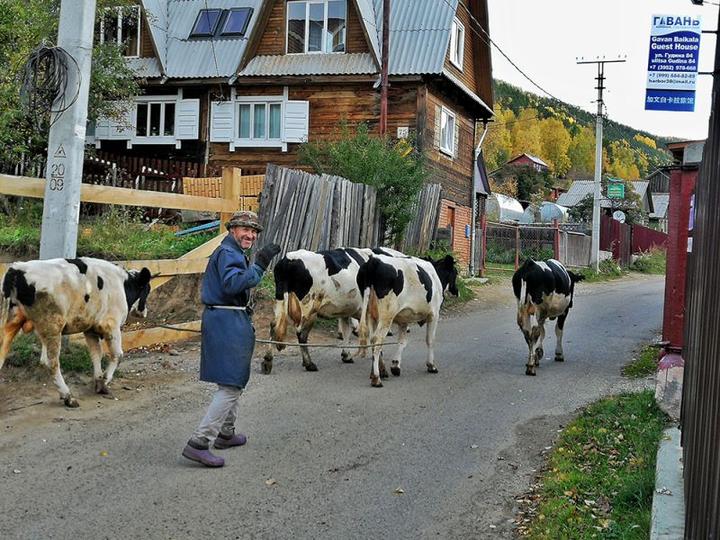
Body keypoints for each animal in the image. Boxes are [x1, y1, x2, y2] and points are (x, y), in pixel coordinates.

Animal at [0, 258, 152, 404]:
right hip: (53, 327)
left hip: (11, 323)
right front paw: (105, 380)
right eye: (147, 289)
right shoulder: (111, 325)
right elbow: (118, 354)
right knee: (51, 363)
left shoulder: (90, 329)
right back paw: (67, 396)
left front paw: (99, 381)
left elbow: (96, 354)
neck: (122, 283)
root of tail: (17, 268)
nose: (144, 311)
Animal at [266, 247, 410, 374]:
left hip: (280, 300)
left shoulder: (346, 310)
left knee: (274, 326)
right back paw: (309, 364)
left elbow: (347, 330)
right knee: (301, 334)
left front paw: (346, 355)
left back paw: (267, 360)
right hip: (309, 307)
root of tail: (289, 258)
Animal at [358, 254, 458, 386]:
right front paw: (431, 365)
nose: (457, 290)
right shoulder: (434, 314)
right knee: (377, 340)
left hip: (371, 314)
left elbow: (402, 342)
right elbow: (430, 340)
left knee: (373, 341)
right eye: (455, 273)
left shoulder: (403, 320)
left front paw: (396, 365)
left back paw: (380, 371)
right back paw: (376, 378)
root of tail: (374, 260)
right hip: (386, 315)